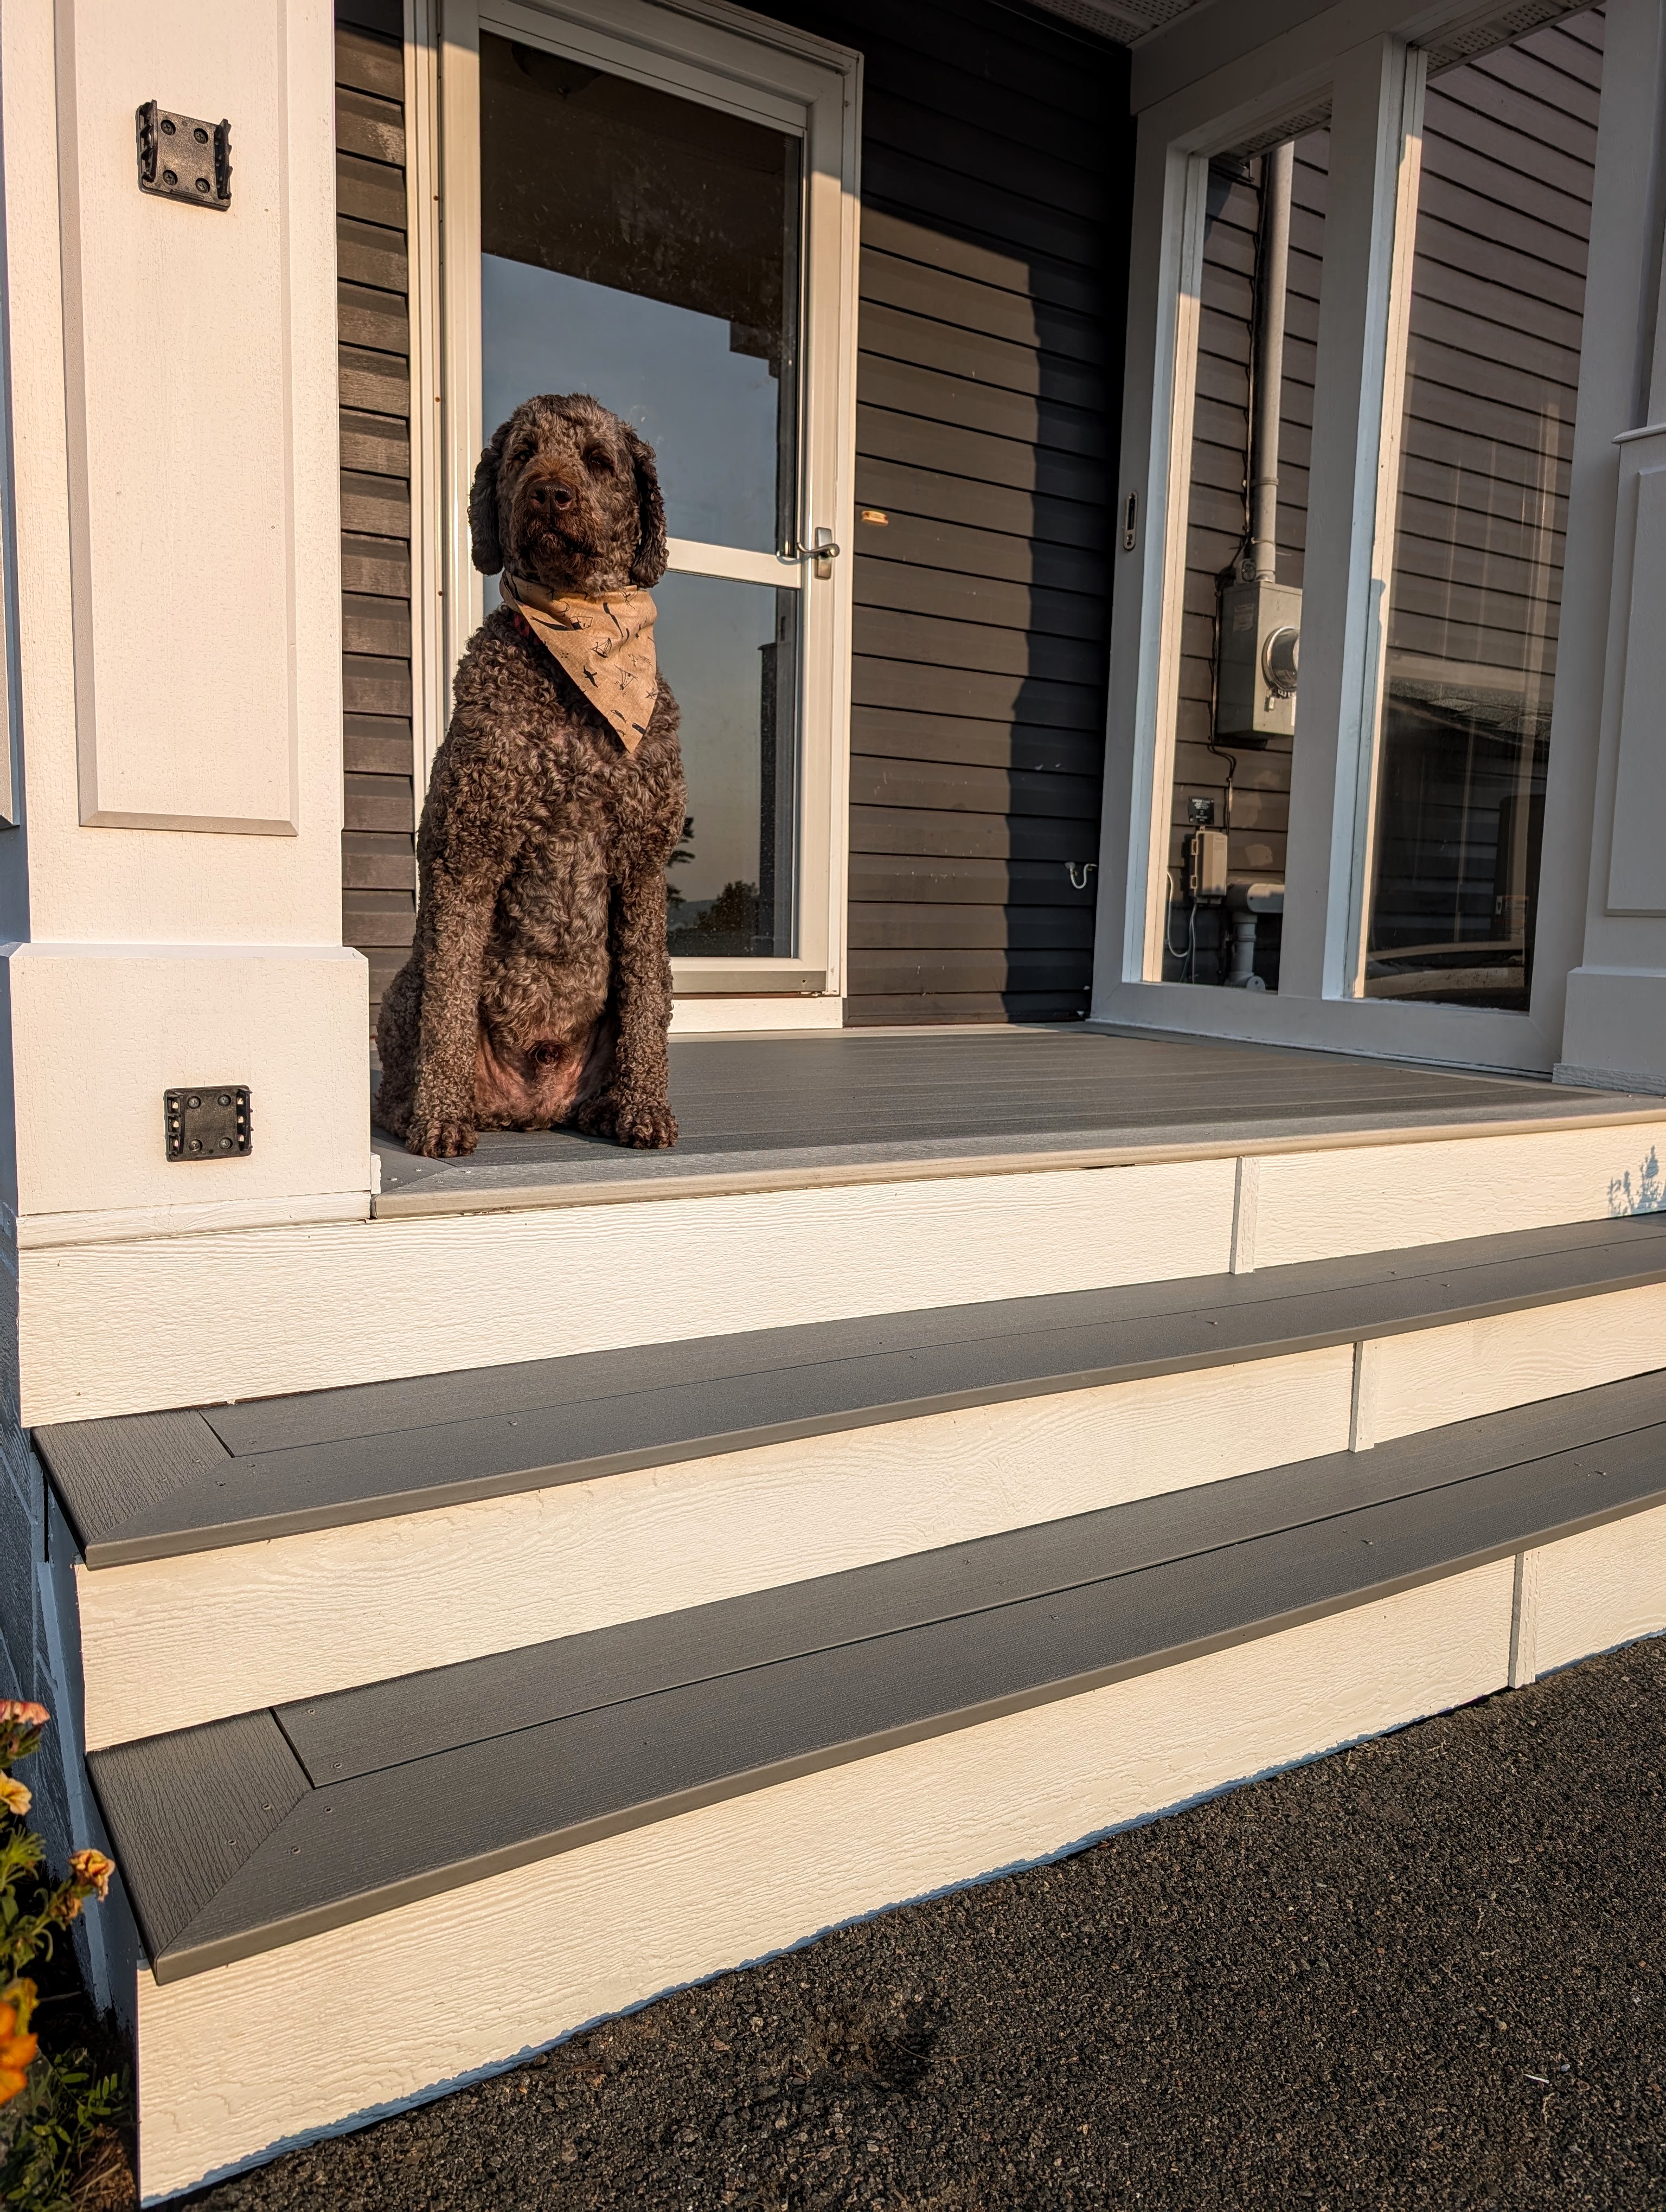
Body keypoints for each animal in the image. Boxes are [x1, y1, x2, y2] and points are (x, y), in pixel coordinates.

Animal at [376, 398, 681, 1159]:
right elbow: (450, 1005)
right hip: (403, 984)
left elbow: (641, 1008)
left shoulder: (644, 862)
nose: (549, 493)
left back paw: (606, 1107)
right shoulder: (467, 848)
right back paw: (421, 1108)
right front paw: (439, 1118)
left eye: (599, 461)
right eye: (522, 455)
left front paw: (643, 1108)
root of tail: (532, 1109)